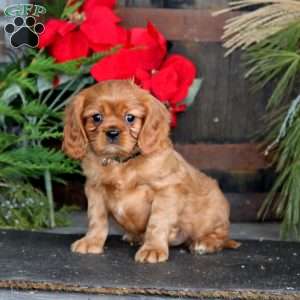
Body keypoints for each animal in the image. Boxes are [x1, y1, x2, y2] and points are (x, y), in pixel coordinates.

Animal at [62, 79, 240, 262]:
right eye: (96, 117)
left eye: (130, 118)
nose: (112, 132)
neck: (120, 164)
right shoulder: (95, 189)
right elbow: (96, 218)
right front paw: (91, 241)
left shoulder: (165, 191)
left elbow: (157, 222)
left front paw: (153, 249)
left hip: (213, 213)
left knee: (221, 236)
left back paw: (205, 243)